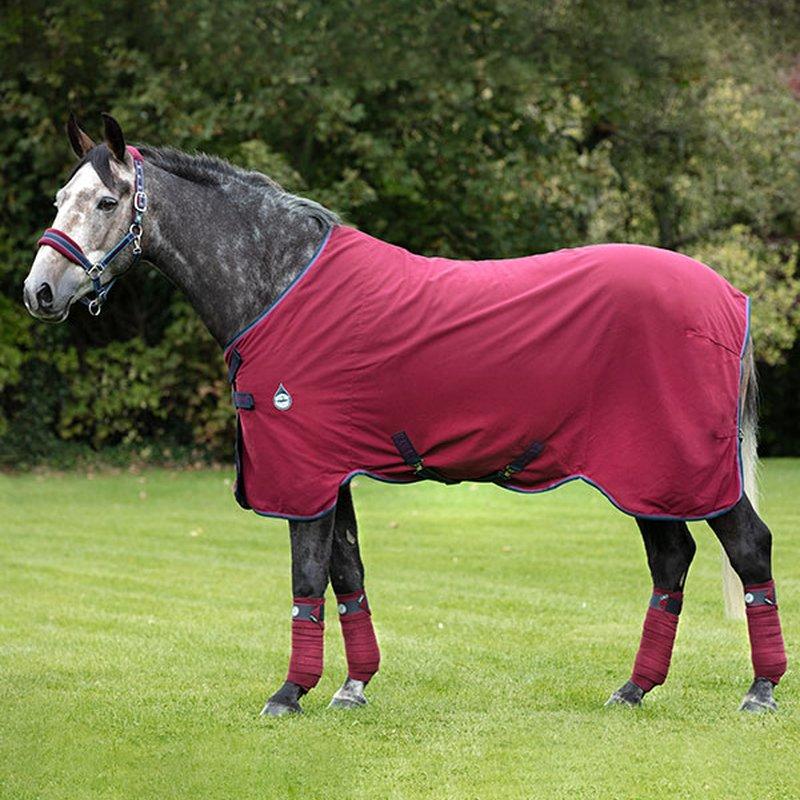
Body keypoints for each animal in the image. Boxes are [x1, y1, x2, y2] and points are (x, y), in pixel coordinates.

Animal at [23, 114, 787, 715]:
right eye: (60, 197)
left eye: (107, 199)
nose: (38, 291)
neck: (279, 283)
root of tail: (730, 297)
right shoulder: (331, 472)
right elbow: (347, 575)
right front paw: (352, 687)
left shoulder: (303, 473)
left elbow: (307, 579)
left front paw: (288, 694)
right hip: (647, 476)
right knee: (672, 560)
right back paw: (633, 689)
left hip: (684, 468)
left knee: (747, 548)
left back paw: (760, 690)